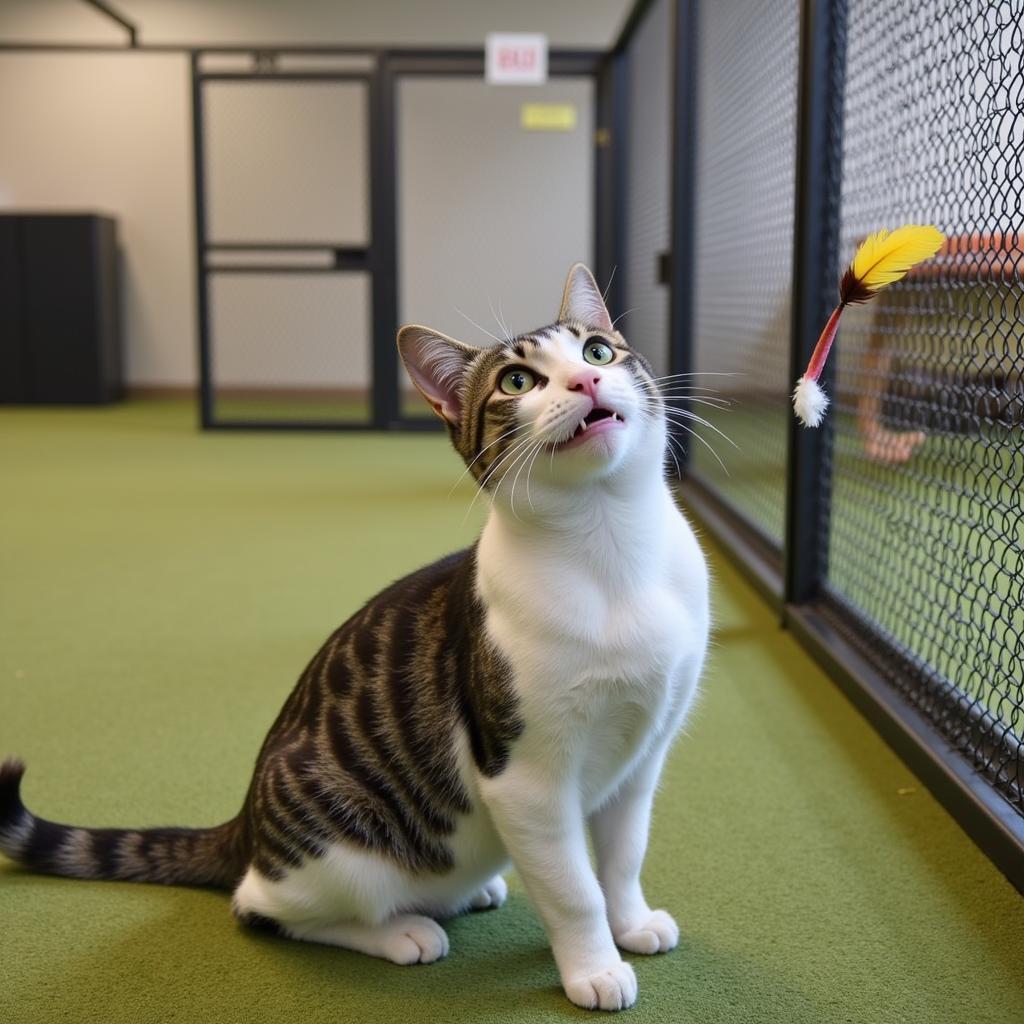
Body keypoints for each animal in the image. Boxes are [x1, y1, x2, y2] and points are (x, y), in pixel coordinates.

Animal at [0, 262, 708, 1007]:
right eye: (517, 382)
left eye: (597, 351)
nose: (585, 383)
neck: (611, 556)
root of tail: (246, 826)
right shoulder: (526, 778)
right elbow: (572, 888)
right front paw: (594, 968)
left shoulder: (641, 755)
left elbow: (622, 858)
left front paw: (631, 923)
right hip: (339, 855)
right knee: (263, 908)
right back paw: (400, 932)